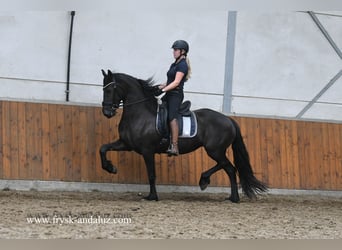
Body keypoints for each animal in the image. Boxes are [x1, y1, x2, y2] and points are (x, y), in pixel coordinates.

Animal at [99, 69, 268, 202]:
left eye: (110, 90)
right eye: (103, 89)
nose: (107, 112)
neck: (140, 113)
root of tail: (229, 119)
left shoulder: (147, 150)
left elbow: (151, 174)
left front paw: (152, 197)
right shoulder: (126, 144)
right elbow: (103, 148)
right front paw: (110, 168)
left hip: (214, 150)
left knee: (229, 168)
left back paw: (224, 192)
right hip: (215, 150)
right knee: (228, 167)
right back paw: (222, 191)